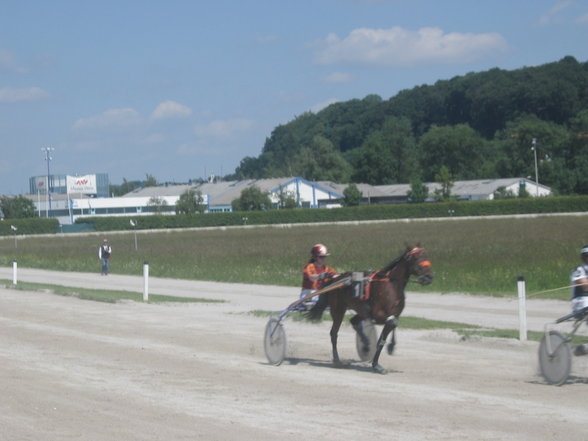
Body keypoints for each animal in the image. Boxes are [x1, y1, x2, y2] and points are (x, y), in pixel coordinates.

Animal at [308, 244, 432, 372]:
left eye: (426, 255)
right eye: (415, 258)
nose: (429, 277)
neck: (392, 286)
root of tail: (335, 279)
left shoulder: (393, 314)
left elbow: (385, 335)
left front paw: (379, 361)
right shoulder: (377, 316)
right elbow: (391, 323)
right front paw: (387, 351)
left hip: (360, 311)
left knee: (353, 321)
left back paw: (366, 343)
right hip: (338, 310)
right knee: (334, 333)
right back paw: (337, 360)